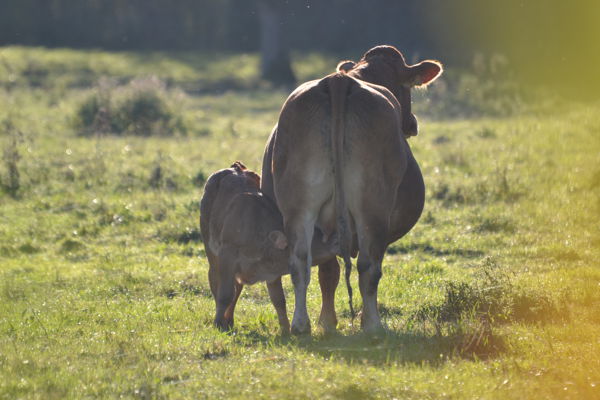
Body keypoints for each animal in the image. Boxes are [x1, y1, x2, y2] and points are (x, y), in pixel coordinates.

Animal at [202, 161, 340, 332]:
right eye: (331, 240)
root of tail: (235, 168)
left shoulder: (272, 272)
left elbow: (278, 299)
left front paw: (285, 329)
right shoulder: (227, 255)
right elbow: (225, 294)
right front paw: (218, 323)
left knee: (237, 287)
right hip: (211, 251)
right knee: (215, 279)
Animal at [262, 45, 440, 334]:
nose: (412, 124)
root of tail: (338, 81)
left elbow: (327, 273)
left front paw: (327, 322)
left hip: (299, 208)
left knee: (300, 262)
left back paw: (300, 325)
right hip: (372, 208)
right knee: (369, 267)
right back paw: (372, 325)